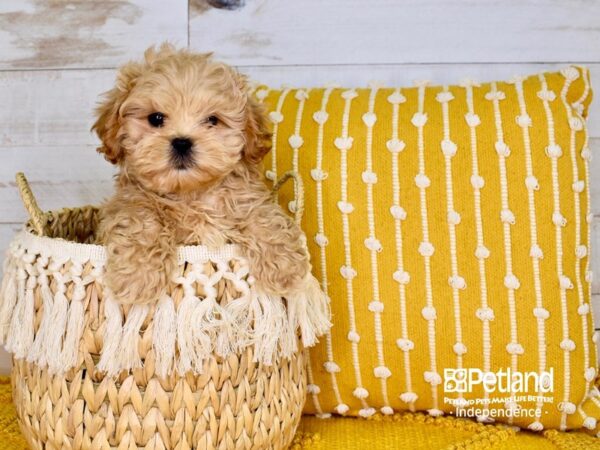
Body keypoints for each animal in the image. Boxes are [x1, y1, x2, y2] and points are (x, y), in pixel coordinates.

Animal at [93, 44, 312, 306]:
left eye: (212, 120)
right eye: (156, 118)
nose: (182, 142)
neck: (190, 194)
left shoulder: (246, 198)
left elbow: (264, 217)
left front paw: (284, 267)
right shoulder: (129, 201)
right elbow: (141, 221)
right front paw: (137, 277)